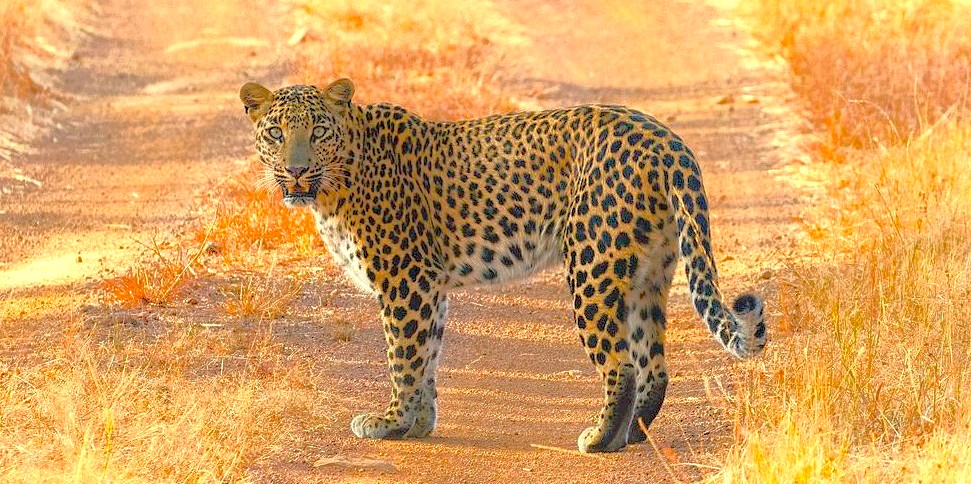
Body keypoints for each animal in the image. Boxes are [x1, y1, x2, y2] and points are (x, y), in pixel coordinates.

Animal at [239, 78, 767, 453]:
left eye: (318, 131)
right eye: (276, 133)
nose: (296, 170)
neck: (336, 183)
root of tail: (666, 140)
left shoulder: (405, 280)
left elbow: (403, 358)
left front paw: (390, 422)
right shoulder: (430, 286)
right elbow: (427, 355)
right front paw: (419, 424)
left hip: (592, 264)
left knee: (621, 366)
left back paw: (599, 440)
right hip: (647, 270)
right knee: (653, 365)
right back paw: (635, 435)